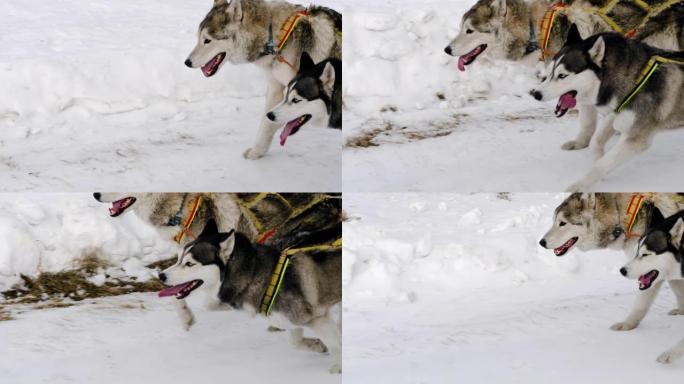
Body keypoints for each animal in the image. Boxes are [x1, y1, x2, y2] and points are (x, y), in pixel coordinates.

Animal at [159, 219, 342, 372]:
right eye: (178, 259)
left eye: (190, 264)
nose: (161, 275)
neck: (257, 273)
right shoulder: (289, 319)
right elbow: (295, 342)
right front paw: (318, 345)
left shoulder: (317, 318)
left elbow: (336, 344)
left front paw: (338, 368)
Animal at [184, 0, 342, 159]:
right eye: (198, 38)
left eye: (207, 40)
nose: (187, 62)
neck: (277, 37)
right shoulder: (277, 89)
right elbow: (266, 122)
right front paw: (257, 151)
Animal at [536, 25, 684, 190]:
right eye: (548, 74)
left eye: (562, 75)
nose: (535, 93)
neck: (636, 79)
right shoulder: (615, 113)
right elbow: (596, 141)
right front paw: (598, 158)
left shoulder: (635, 139)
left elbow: (601, 165)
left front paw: (580, 185)